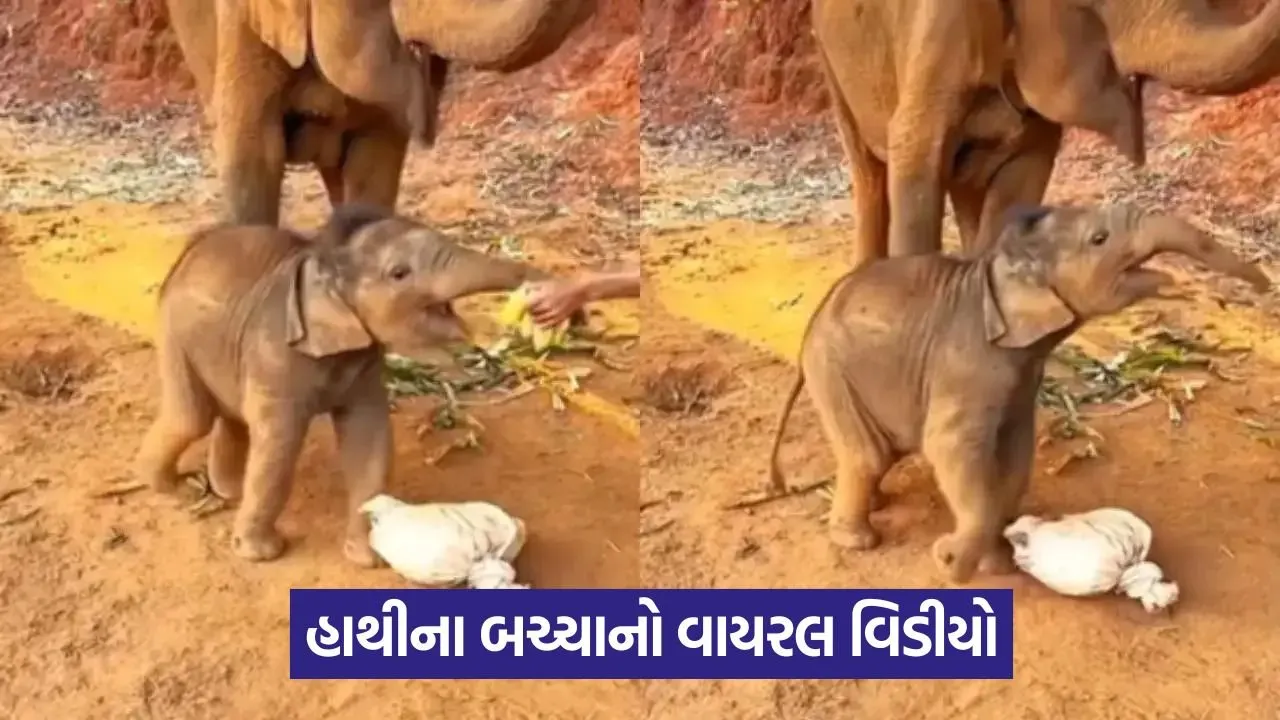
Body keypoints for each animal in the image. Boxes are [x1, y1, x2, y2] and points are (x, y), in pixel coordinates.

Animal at [134, 203, 552, 565]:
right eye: (399, 273)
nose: (536, 295)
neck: (321, 264)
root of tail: (191, 247)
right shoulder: (276, 352)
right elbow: (280, 446)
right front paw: (263, 554)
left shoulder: (365, 364)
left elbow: (369, 439)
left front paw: (368, 558)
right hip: (173, 332)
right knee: (192, 417)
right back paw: (178, 490)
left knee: (230, 417)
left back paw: (228, 492)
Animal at [766, 202, 1270, 584]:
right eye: (1100, 239)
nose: (1265, 285)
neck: (997, 270)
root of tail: (817, 313)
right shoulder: (968, 360)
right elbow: (952, 447)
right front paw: (953, 562)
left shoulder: (1019, 375)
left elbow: (1013, 453)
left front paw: (995, 563)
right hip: (832, 369)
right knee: (869, 455)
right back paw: (859, 541)